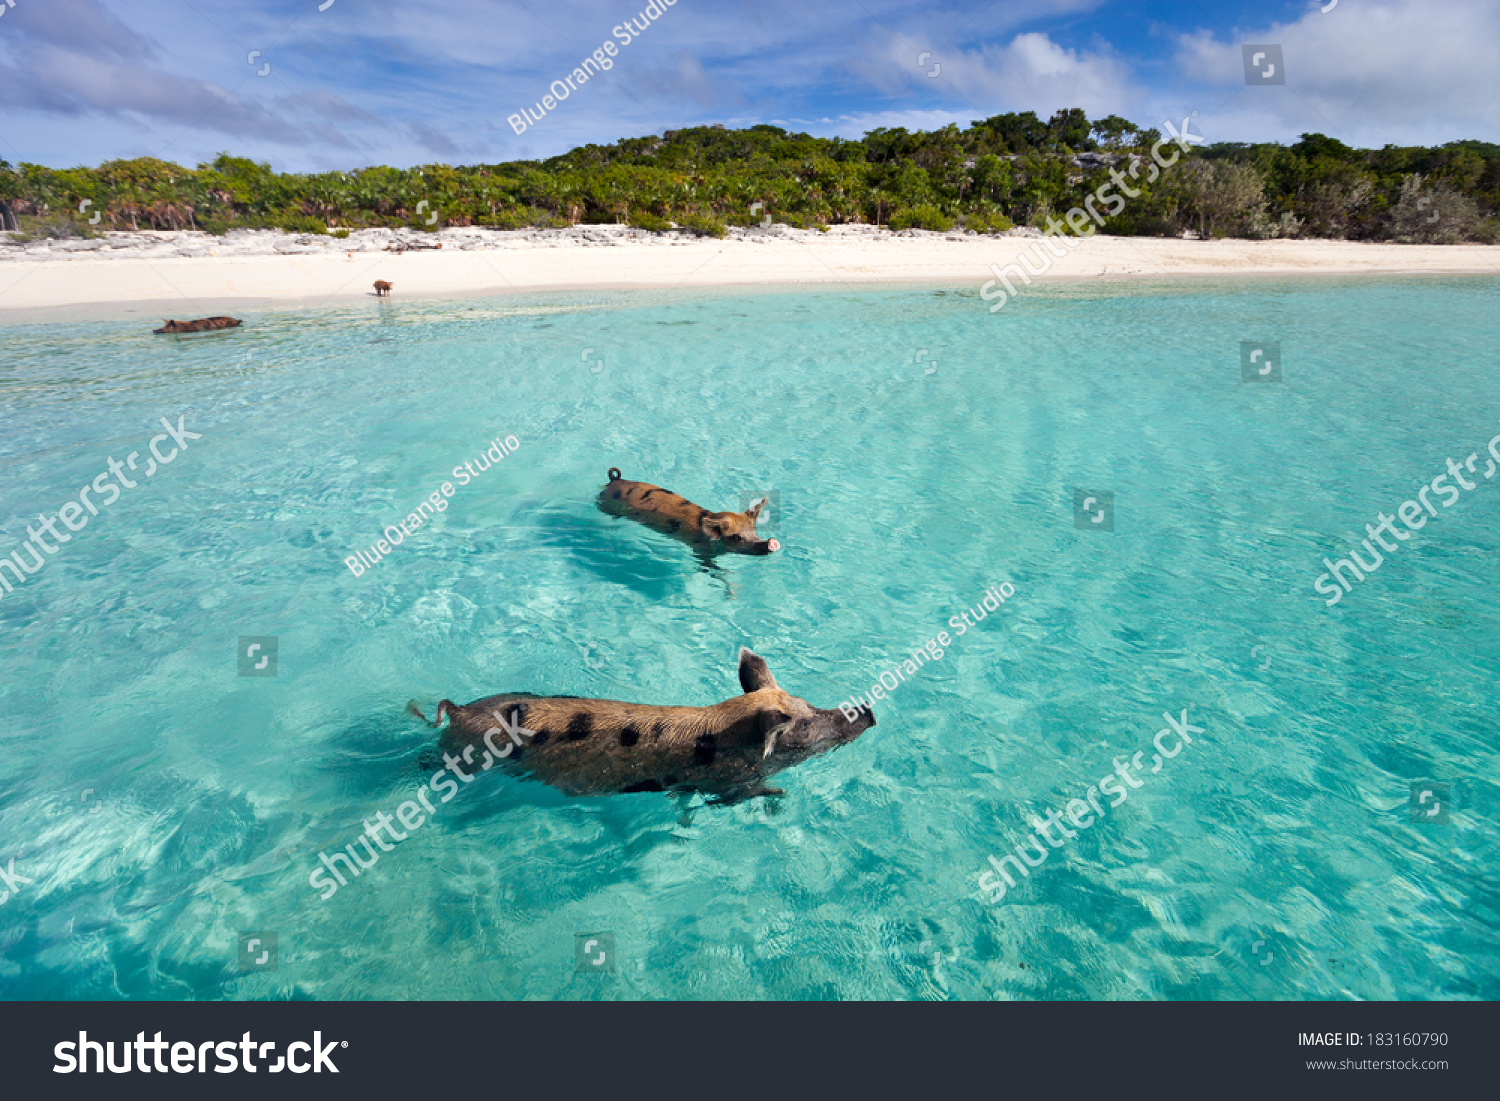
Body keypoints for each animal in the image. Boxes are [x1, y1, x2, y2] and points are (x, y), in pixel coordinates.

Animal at [414, 651, 876, 804]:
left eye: (809, 703)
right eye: (805, 726)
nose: (867, 711)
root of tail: (456, 710)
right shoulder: (725, 781)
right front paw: (779, 794)